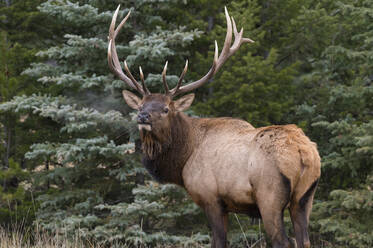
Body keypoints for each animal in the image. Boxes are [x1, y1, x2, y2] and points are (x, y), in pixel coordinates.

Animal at [107, 5, 320, 248]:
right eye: (141, 105)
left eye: (166, 109)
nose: (142, 116)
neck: (184, 157)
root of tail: (304, 152)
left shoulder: (211, 198)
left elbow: (218, 241)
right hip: (305, 198)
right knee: (304, 240)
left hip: (270, 195)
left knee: (283, 241)